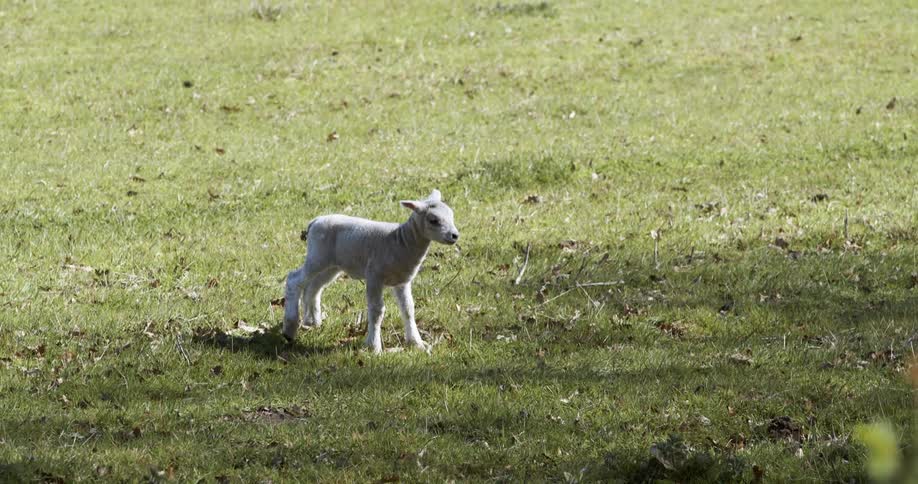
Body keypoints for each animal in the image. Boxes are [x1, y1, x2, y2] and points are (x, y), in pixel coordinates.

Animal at [283, 189, 460, 354]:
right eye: (433, 220)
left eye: (452, 215)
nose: (455, 235)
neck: (401, 241)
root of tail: (315, 221)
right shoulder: (374, 275)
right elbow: (377, 310)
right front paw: (374, 346)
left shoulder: (402, 280)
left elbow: (408, 309)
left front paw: (417, 343)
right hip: (317, 256)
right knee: (294, 280)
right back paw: (290, 328)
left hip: (332, 265)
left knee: (314, 287)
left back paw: (312, 321)